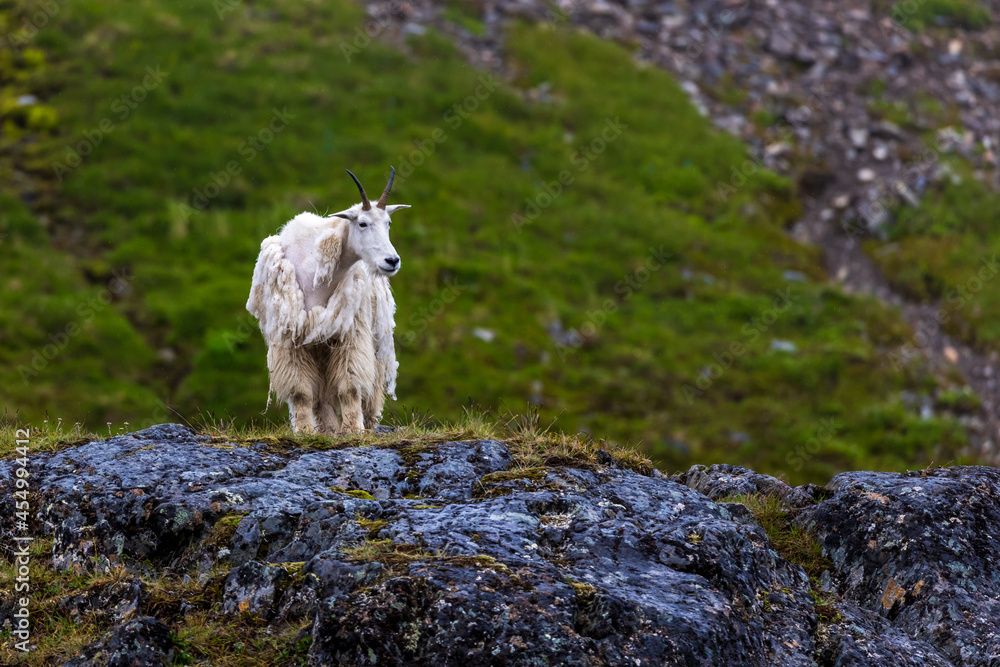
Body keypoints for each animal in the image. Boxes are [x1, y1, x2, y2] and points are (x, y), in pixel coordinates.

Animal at [246, 168, 408, 434]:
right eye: (362, 223)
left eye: (388, 223)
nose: (392, 261)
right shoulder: (292, 338)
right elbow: (301, 392)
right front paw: (305, 431)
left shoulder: (348, 334)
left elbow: (349, 387)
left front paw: (353, 430)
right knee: (321, 395)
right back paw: (328, 429)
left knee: (372, 388)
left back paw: (367, 425)